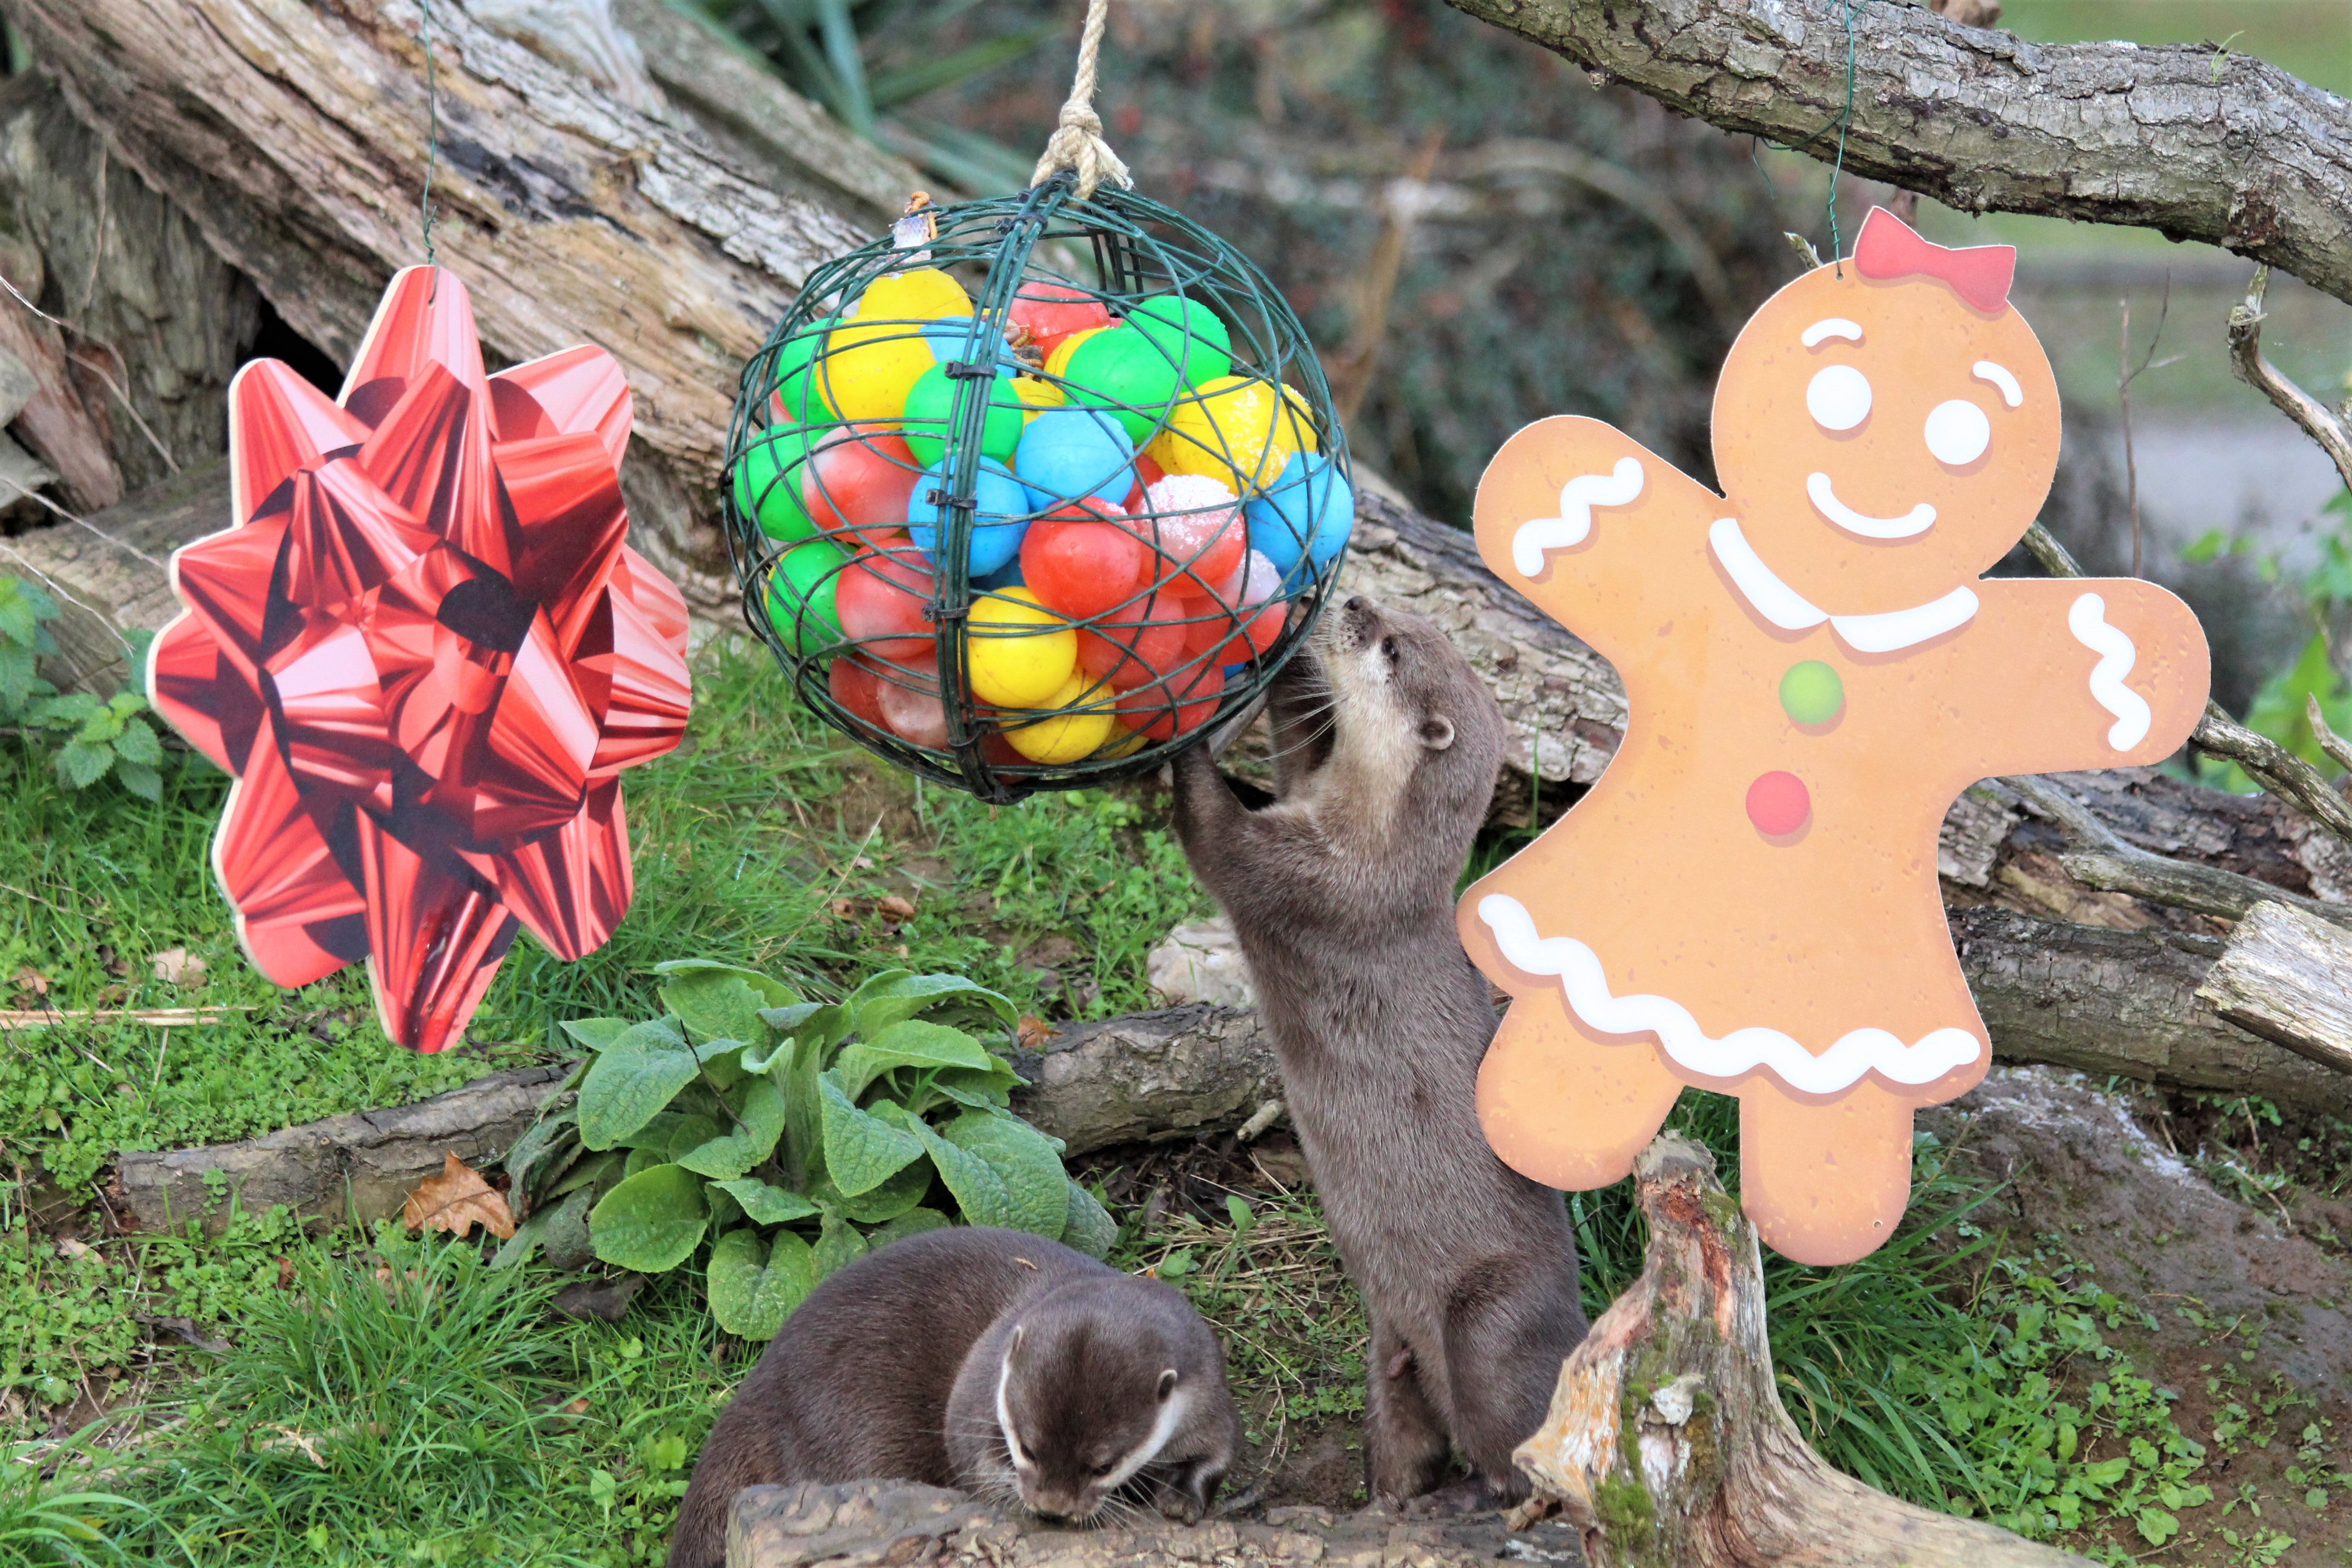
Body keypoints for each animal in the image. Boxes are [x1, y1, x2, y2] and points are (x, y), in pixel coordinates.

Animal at [672, 1222, 1242, 1568]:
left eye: (1102, 1465)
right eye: (1028, 1447)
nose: (1052, 1508)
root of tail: (762, 1387)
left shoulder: (1208, 1386)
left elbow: (1221, 1453)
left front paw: (1183, 1499)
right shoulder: (979, 1390)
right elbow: (971, 1459)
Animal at [1166, 594, 1590, 1514]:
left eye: (1391, 650)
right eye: (1408, 621)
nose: (1356, 604)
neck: (1373, 845)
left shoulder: (1314, 882)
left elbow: (1215, 837)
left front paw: (1184, 740)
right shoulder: (1303, 795)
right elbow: (1295, 739)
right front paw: (1286, 637)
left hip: (1487, 1322)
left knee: (1516, 1450)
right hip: (1385, 1359)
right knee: (1407, 1440)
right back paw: (1391, 1501)